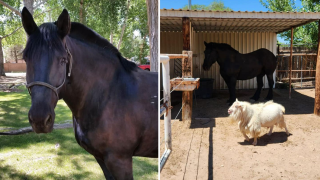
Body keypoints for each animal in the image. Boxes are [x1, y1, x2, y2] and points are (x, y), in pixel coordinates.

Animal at [21, 7, 158, 180]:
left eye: (63, 59)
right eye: (26, 58)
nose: (39, 119)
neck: (109, 95)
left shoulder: (120, 160)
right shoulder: (101, 158)